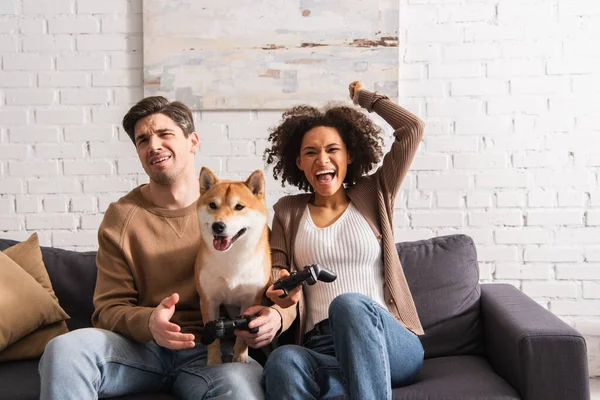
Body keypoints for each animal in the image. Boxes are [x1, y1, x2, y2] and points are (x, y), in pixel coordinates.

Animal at [196, 167, 270, 364]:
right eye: (212, 205)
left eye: (239, 207)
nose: (218, 226)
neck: (231, 258)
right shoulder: (208, 300)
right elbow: (213, 339)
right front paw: (214, 361)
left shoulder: (250, 300)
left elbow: (243, 337)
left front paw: (240, 358)